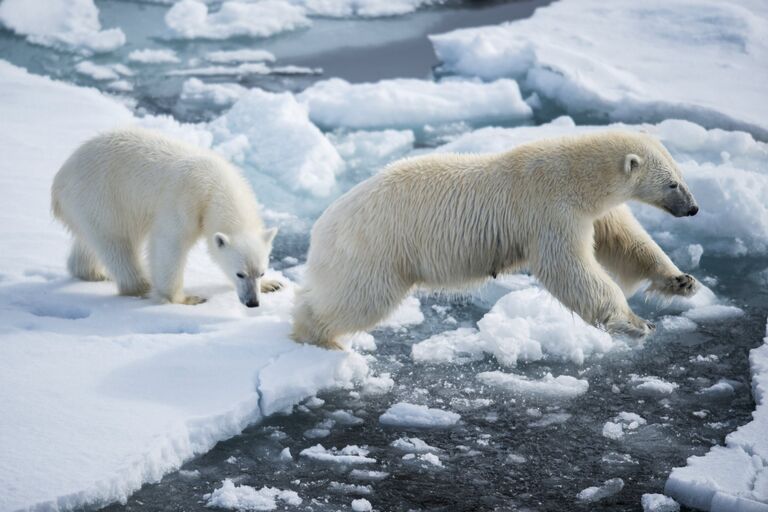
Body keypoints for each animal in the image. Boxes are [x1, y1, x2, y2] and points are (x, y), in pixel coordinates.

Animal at [54, 128, 282, 308]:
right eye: (240, 274)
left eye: (261, 272)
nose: (252, 303)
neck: (216, 186)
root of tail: (60, 179)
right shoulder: (185, 201)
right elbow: (169, 244)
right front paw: (185, 299)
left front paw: (273, 284)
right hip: (102, 197)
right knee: (117, 243)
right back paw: (141, 286)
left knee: (89, 242)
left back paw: (93, 272)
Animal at [294, 130, 704, 350]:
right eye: (672, 184)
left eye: (681, 175)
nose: (694, 208)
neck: (575, 175)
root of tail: (321, 225)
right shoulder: (549, 210)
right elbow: (569, 269)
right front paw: (636, 323)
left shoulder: (593, 212)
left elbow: (626, 242)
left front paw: (682, 281)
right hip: (375, 248)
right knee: (359, 298)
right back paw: (317, 335)